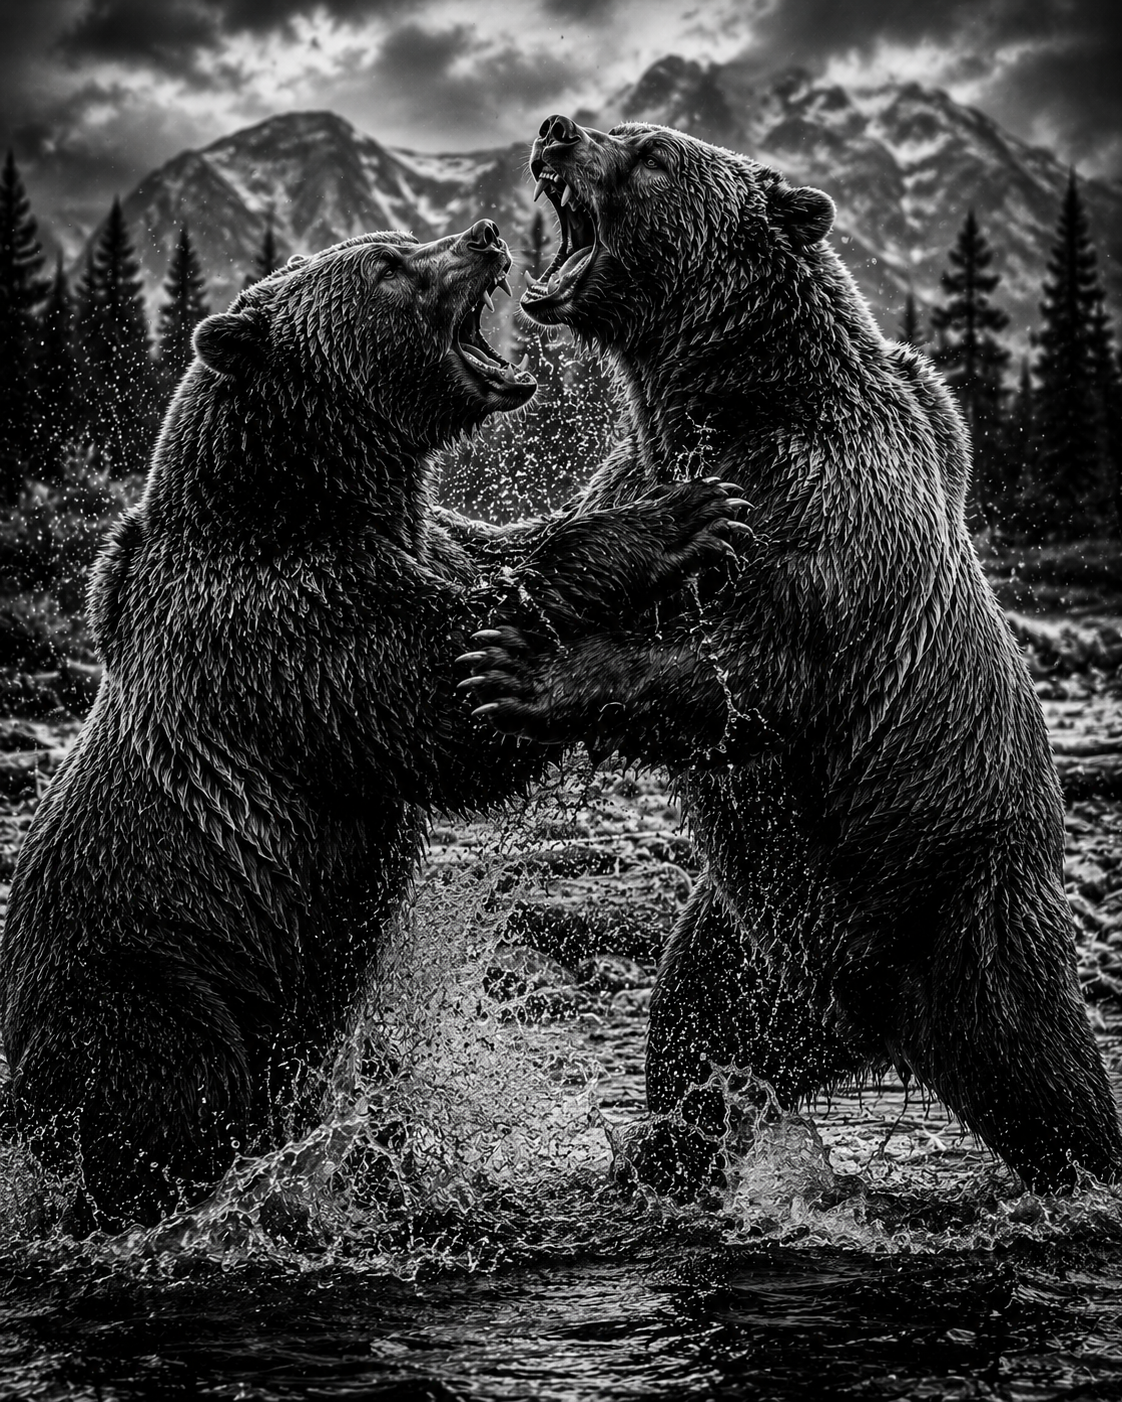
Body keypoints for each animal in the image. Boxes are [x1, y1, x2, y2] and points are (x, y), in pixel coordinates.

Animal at [0, 219, 736, 1229]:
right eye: (388, 264)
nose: (484, 233)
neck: (313, 496)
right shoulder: (285, 634)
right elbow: (439, 690)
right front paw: (678, 515)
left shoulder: (425, 541)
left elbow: (498, 553)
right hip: (146, 980)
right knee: (167, 1095)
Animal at [461, 116, 1122, 1196]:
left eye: (651, 151)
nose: (556, 130)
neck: (719, 390)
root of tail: (877, 1027)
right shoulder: (643, 467)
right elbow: (576, 551)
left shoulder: (824, 506)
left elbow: (759, 669)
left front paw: (525, 673)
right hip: (753, 944)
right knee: (692, 1044)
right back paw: (658, 1162)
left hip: (969, 905)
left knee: (1052, 1081)